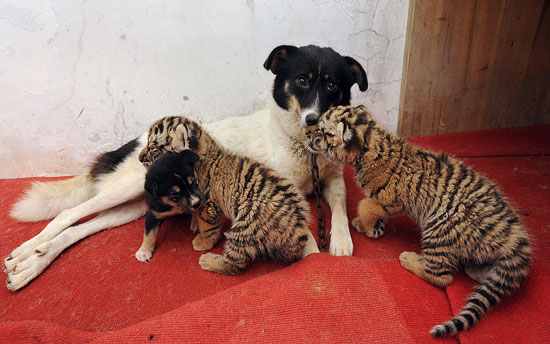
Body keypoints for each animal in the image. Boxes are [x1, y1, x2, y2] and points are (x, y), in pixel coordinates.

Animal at [4, 43, 368, 290]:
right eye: (302, 81)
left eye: (332, 85)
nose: (313, 120)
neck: (305, 149)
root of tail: (139, 141)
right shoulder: (282, 190)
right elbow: (305, 232)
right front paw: (314, 254)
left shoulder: (333, 178)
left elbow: (338, 205)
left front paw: (340, 240)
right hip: (131, 186)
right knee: (69, 214)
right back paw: (24, 253)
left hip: (139, 206)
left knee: (80, 229)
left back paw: (32, 261)